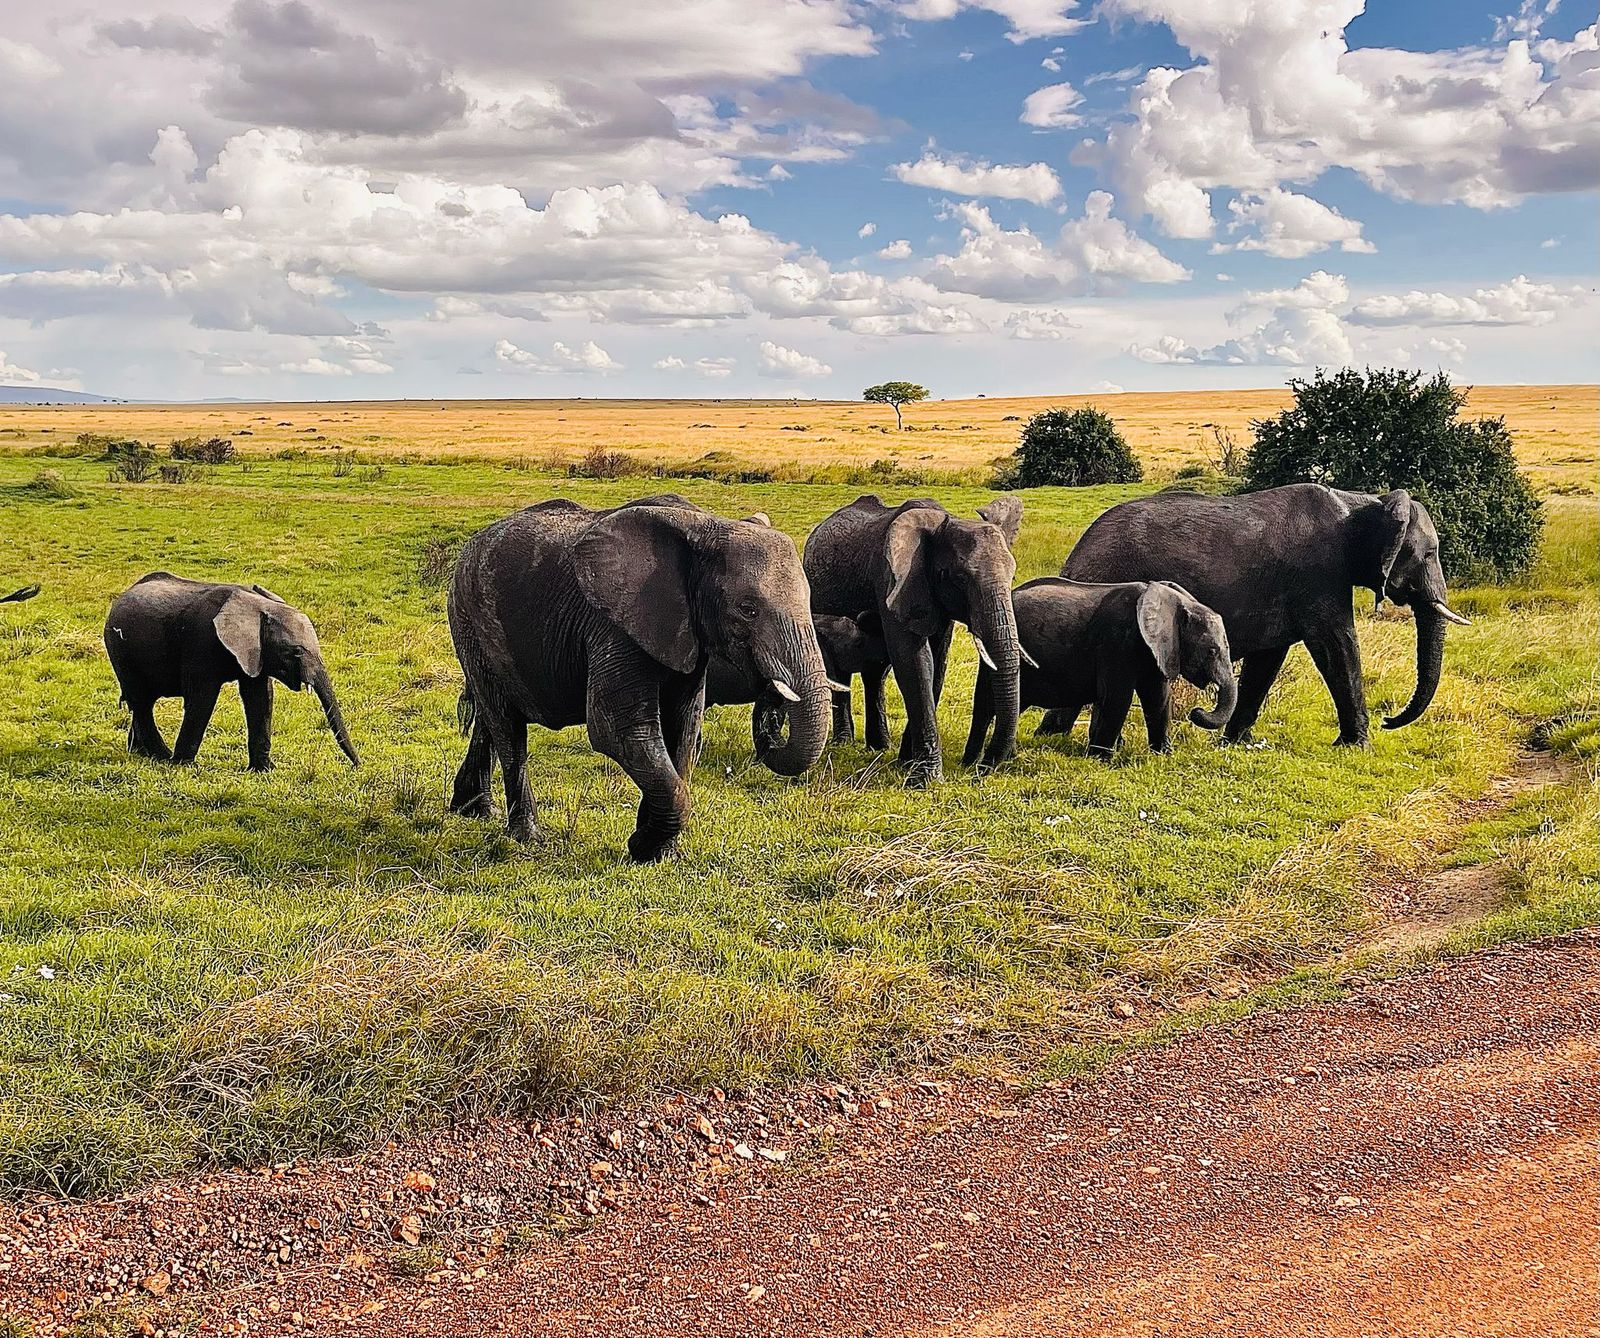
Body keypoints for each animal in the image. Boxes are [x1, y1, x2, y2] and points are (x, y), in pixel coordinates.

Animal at [103, 573, 360, 769]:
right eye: (295, 652)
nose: (358, 766)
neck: (257, 606)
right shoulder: (202, 642)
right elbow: (202, 700)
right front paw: (185, 766)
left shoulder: (257, 652)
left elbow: (260, 698)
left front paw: (265, 770)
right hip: (120, 651)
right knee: (142, 702)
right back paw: (163, 757)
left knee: (142, 702)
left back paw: (140, 753)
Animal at [447, 497, 833, 862]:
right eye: (747, 610)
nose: (772, 692)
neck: (707, 524)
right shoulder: (614, 626)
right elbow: (617, 730)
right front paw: (643, 844)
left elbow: (684, 729)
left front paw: (658, 852)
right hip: (467, 616)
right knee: (508, 728)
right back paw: (526, 837)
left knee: (491, 717)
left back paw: (476, 811)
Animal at [803, 494, 1027, 781]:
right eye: (960, 578)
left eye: (1013, 575)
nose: (980, 768)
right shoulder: (892, 579)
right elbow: (915, 663)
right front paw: (925, 778)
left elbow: (937, 665)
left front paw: (906, 764)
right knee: (840, 670)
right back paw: (843, 744)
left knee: (875, 673)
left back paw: (880, 747)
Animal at [968, 577, 1235, 763]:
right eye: (1212, 651)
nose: (1195, 712)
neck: (1174, 601)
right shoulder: (1117, 642)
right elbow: (1117, 698)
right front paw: (1101, 761)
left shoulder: (1158, 649)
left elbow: (1158, 698)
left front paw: (1163, 755)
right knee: (986, 704)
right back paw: (976, 762)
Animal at [1047, 484, 1470, 747]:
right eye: (1429, 554)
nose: (1389, 720)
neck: (1364, 501)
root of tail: (1077, 553)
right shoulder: (1319, 573)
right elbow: (1336, 645)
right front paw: (1357, 746)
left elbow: (1268, 659)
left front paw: (1236, 743)